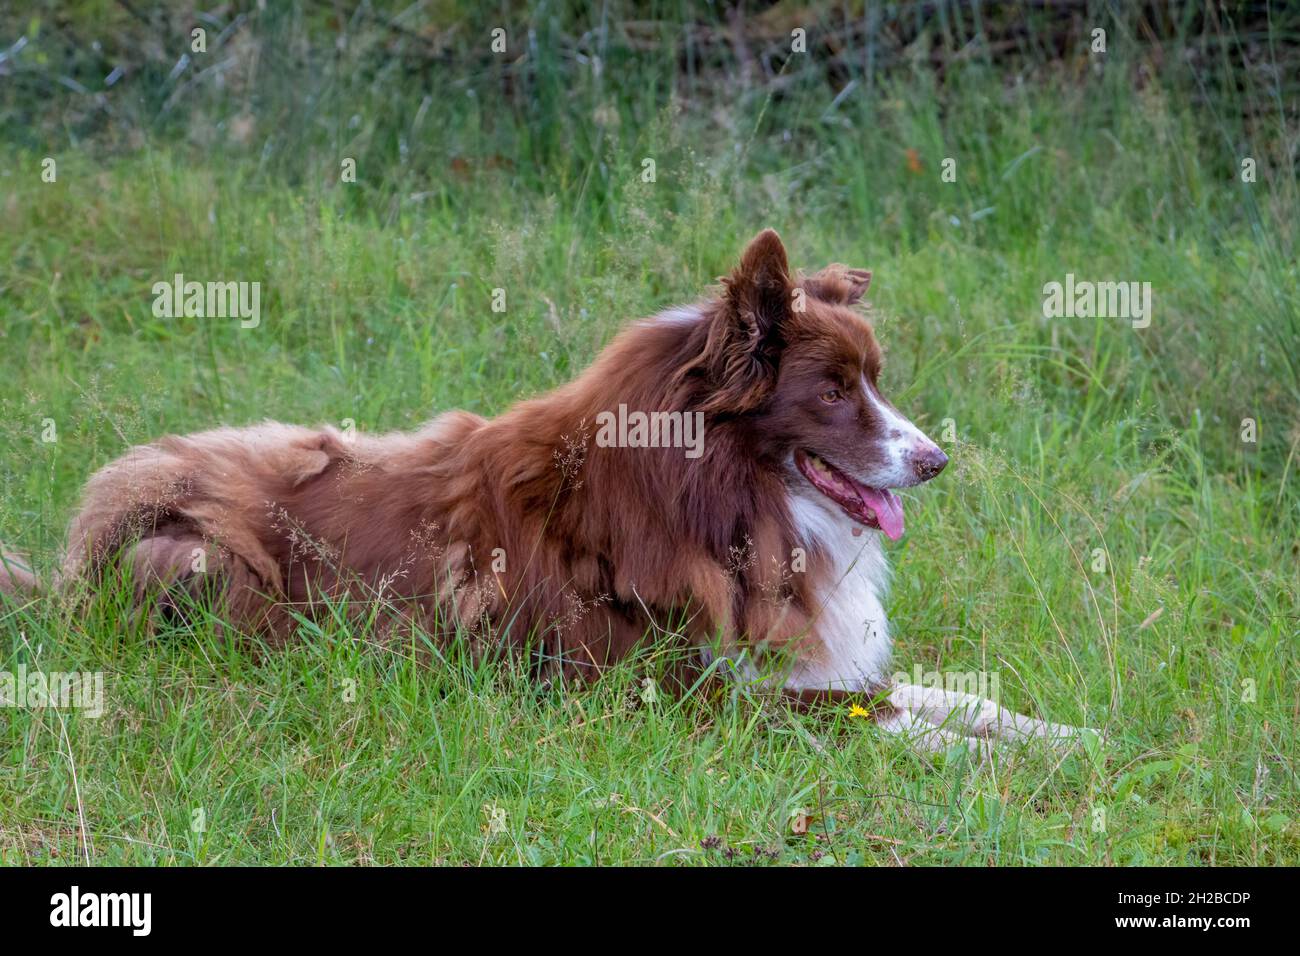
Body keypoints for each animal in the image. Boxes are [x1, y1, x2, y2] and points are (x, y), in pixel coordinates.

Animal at [2, 230, 1086, 749]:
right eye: (831, 391)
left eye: (877, 379)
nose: (938, 460)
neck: (708, 490)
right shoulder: (695, 696)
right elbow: (909, 725)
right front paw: (1026, 758)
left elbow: (955, 699)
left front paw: (1072, 734)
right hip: (185, 552)